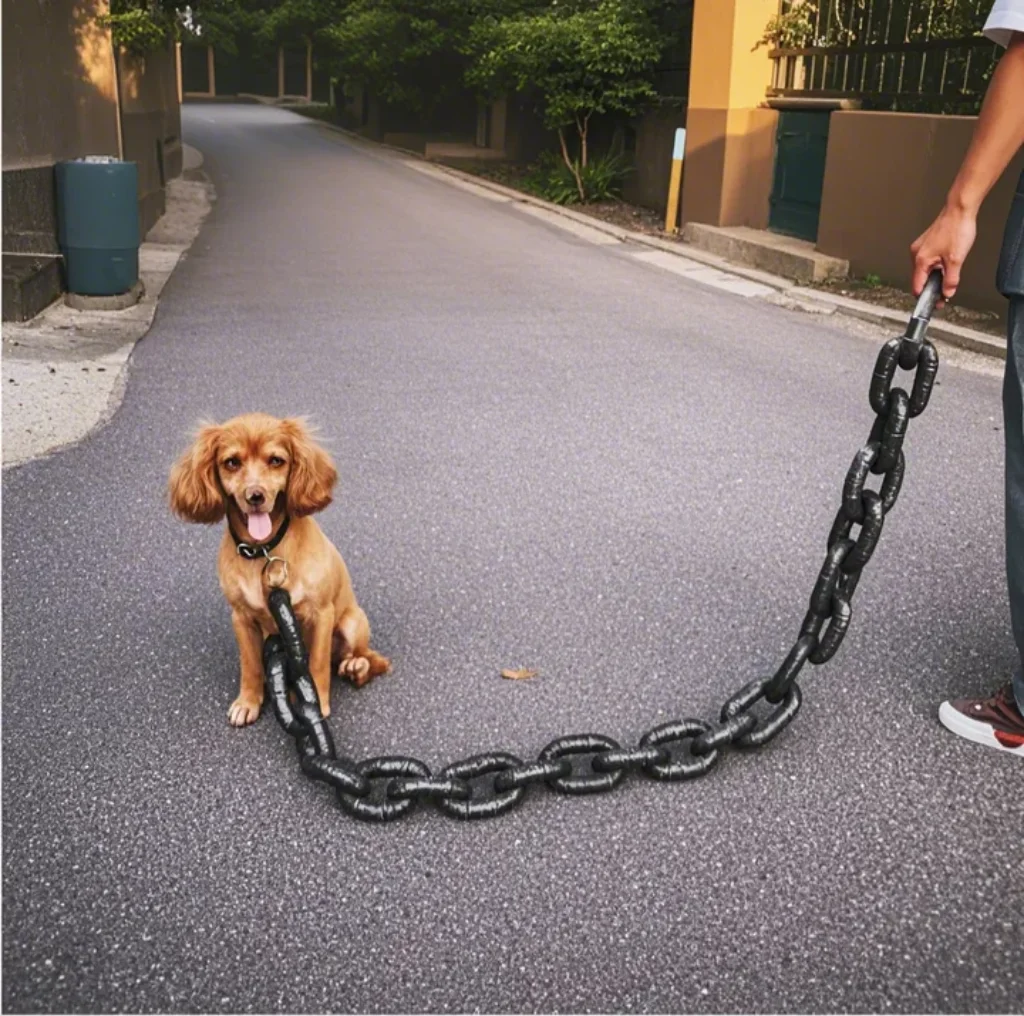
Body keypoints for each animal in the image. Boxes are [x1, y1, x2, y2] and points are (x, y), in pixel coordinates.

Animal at [169, 409, 389, 725]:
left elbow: (318, 664)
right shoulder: (241, 618)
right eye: (231, 462)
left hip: (352, 622)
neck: (264, 551)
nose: (255, 496)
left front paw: (317, 704)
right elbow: (249, 665)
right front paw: (248, 701)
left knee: (363, 657)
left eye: (276, 460)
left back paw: (355, 666)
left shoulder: (321, 614)